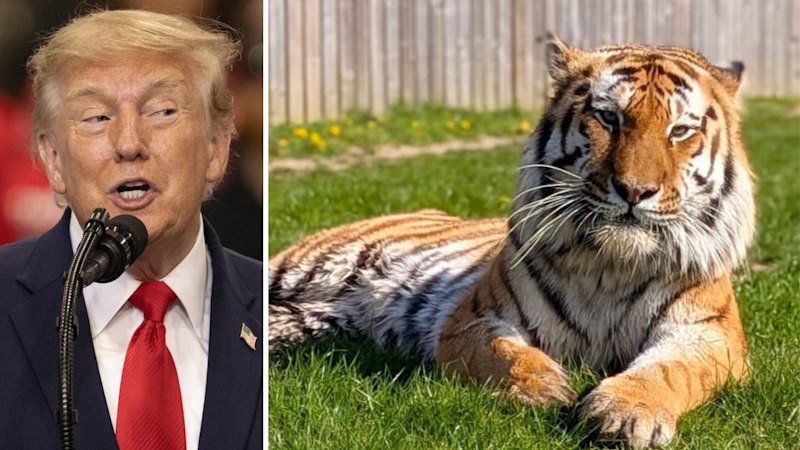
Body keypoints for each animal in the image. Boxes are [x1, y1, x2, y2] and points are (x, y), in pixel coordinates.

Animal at [268, 35, 755, 449]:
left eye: (680, 131)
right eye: (608, 117)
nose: (634, 190)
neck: (611, 265)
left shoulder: (710, 335)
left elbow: (670, 370)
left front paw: (626, 411)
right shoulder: (473, 319)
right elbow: (503, 353)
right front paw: (547, 388)